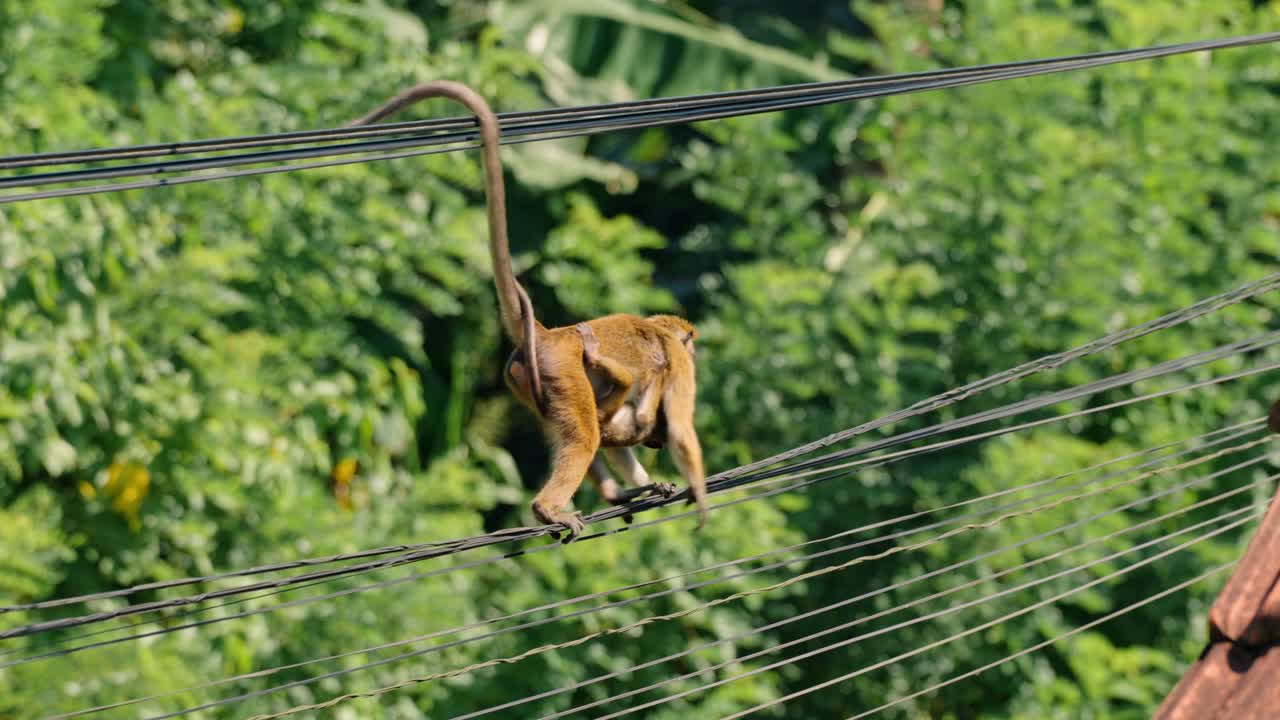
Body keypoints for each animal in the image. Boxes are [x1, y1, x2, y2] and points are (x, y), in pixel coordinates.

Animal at [351, 81, 707, 540]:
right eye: (692, 346)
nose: (697, 352)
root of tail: (551, 333)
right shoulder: (677, 360)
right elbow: (675, 424)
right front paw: (700, 499)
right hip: (561, 368)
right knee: (586, 436)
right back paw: (550, 507)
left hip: (529, 380)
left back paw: (613, 495)